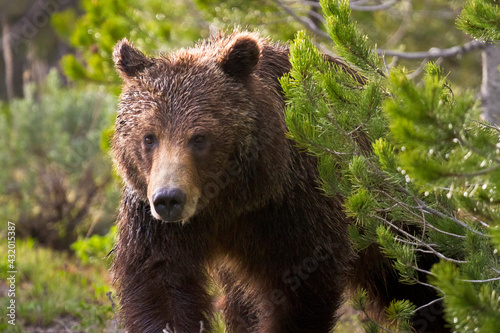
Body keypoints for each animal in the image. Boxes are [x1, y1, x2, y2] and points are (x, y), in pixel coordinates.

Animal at [110, 29, 446, 330]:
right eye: (149, 137)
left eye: (200, 137)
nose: (169, 199)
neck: (229, 201)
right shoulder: (154, 222)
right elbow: (159, 283)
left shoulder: (294, 208)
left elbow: (300, 291)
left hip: (393, 219)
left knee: (417, 277)